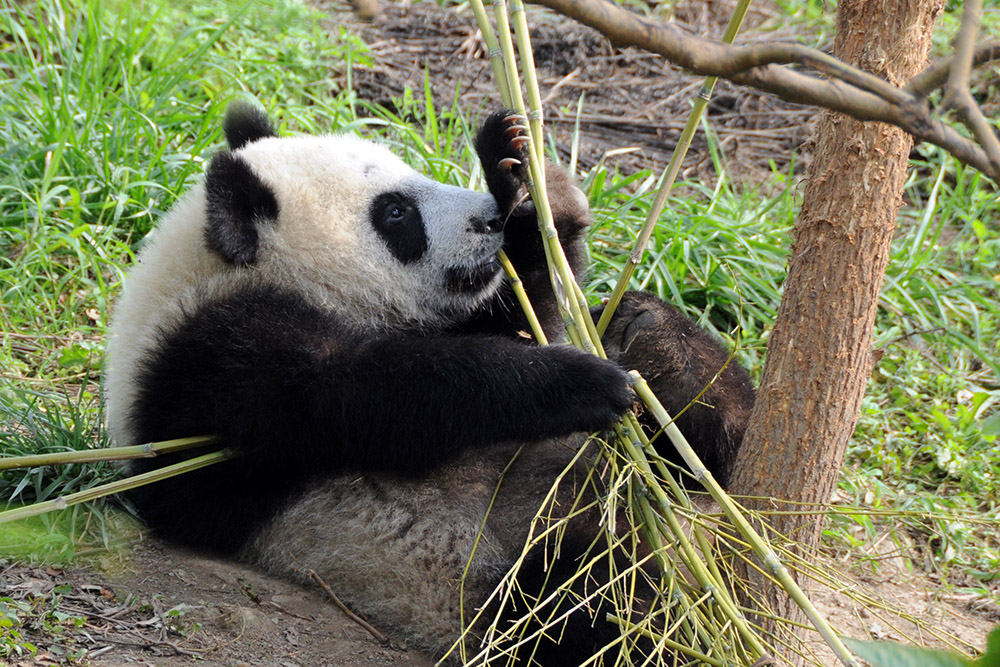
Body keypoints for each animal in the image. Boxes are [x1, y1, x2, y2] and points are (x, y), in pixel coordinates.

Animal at [105, 101, 755, 665]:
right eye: (397, 213)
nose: (487, 218)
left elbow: (523, 312)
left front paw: (524, 174)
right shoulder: (205, 368)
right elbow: (369, 398)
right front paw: (579, 382)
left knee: (703, 441)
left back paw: (662, 345)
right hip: (492, 574)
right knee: (591, 605)